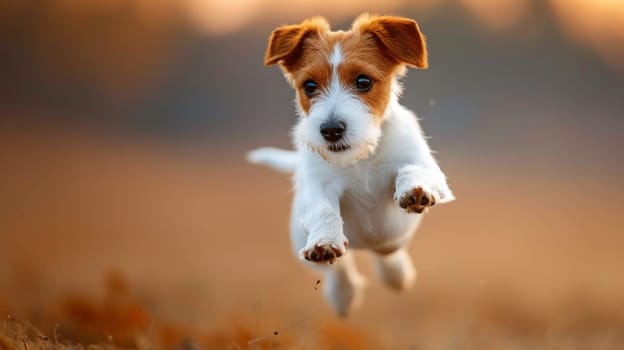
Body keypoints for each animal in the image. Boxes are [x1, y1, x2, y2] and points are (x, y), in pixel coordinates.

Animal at [247, 13, 454, 316]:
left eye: (363, 81)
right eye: (310, 86)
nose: (331, 130)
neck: (360, 158)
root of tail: (367, 244)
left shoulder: (428, 169)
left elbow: (413, 169)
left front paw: (413, 190)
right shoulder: (318, 188)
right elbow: (324, 211)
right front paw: (324, 241)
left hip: (394, 238)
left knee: (387, 253)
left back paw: (397, 275)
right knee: (341, 268)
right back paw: (343, 294)